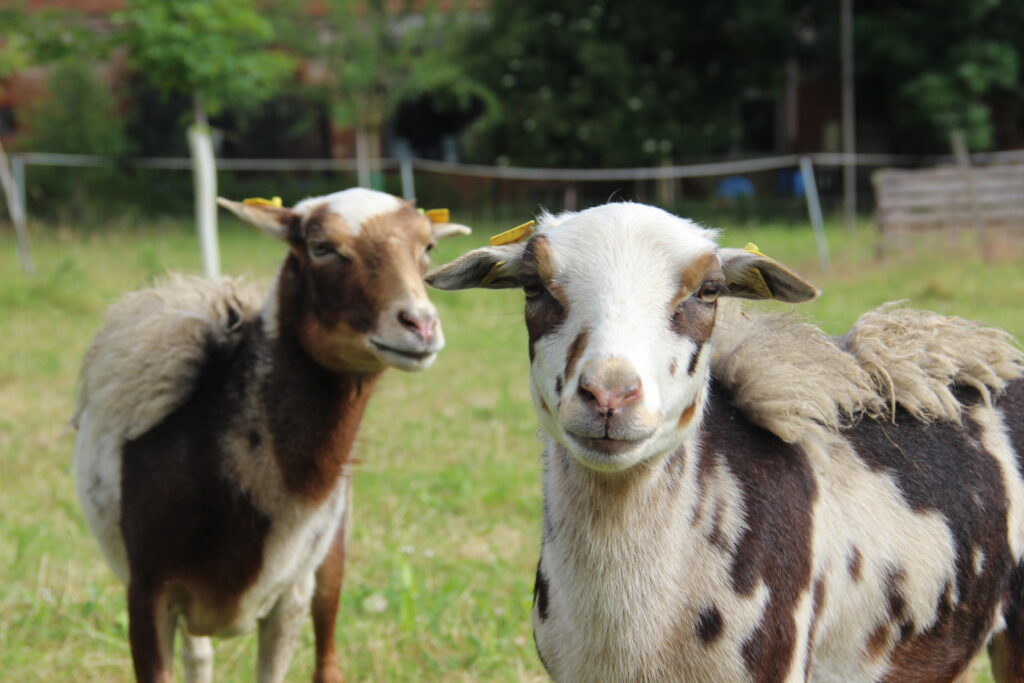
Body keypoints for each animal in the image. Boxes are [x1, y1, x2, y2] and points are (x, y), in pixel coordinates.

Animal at [72, 189, 470, 683]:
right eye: (321, 247)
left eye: (428, 247)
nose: (420, 325)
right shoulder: (148, 592)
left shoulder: (291, 593)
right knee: (199, 657)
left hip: (331, 557)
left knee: (326, 660)